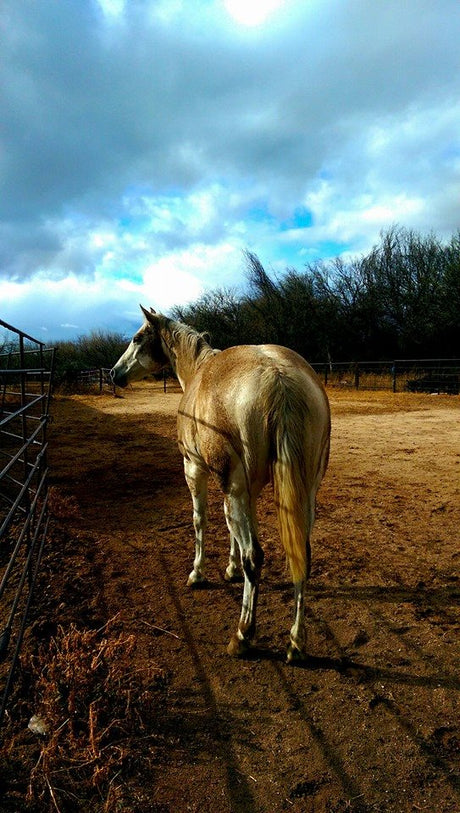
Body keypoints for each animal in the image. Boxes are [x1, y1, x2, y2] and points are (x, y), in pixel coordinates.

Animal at [111, 306, 330, 661]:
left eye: (137, 338)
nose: (114, 373)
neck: (198, 371)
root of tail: (277, 376)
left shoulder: (195, 470)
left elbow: (201, 521)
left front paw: (197, 573)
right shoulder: (247, 489)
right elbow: (232, 529)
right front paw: (230, 569)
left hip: (233, 485)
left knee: (255, 556)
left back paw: (243, 635)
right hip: (304, 493)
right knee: (302, 555)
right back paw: (296, 642)